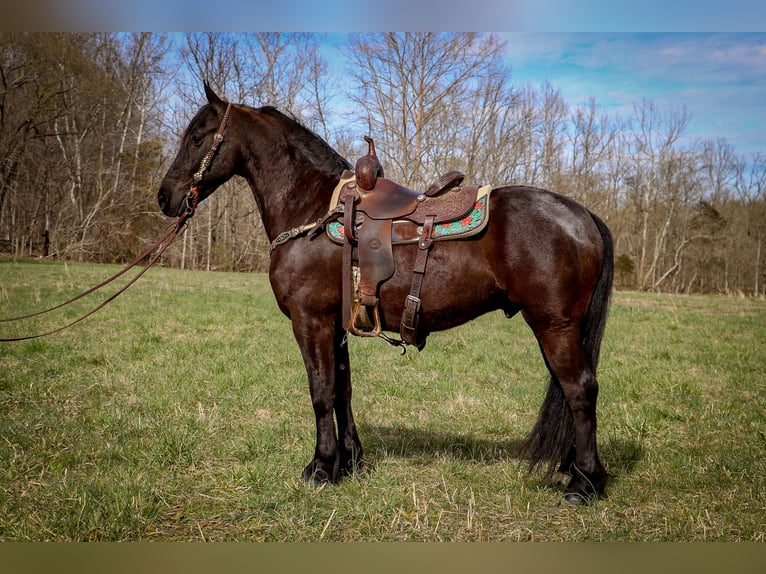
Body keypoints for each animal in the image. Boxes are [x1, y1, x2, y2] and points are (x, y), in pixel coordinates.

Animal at [159, 84, 616, 504]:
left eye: (197, 137)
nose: (165, 197)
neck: (311, 209)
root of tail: (582, 215)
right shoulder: (335, 325)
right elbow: (342, 389)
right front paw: (349, 461)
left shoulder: (310, 321)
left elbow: (321, 392)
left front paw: (321, 468)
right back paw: (572, 469)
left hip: (554, 326)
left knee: (580, 389)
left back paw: (584, 483)